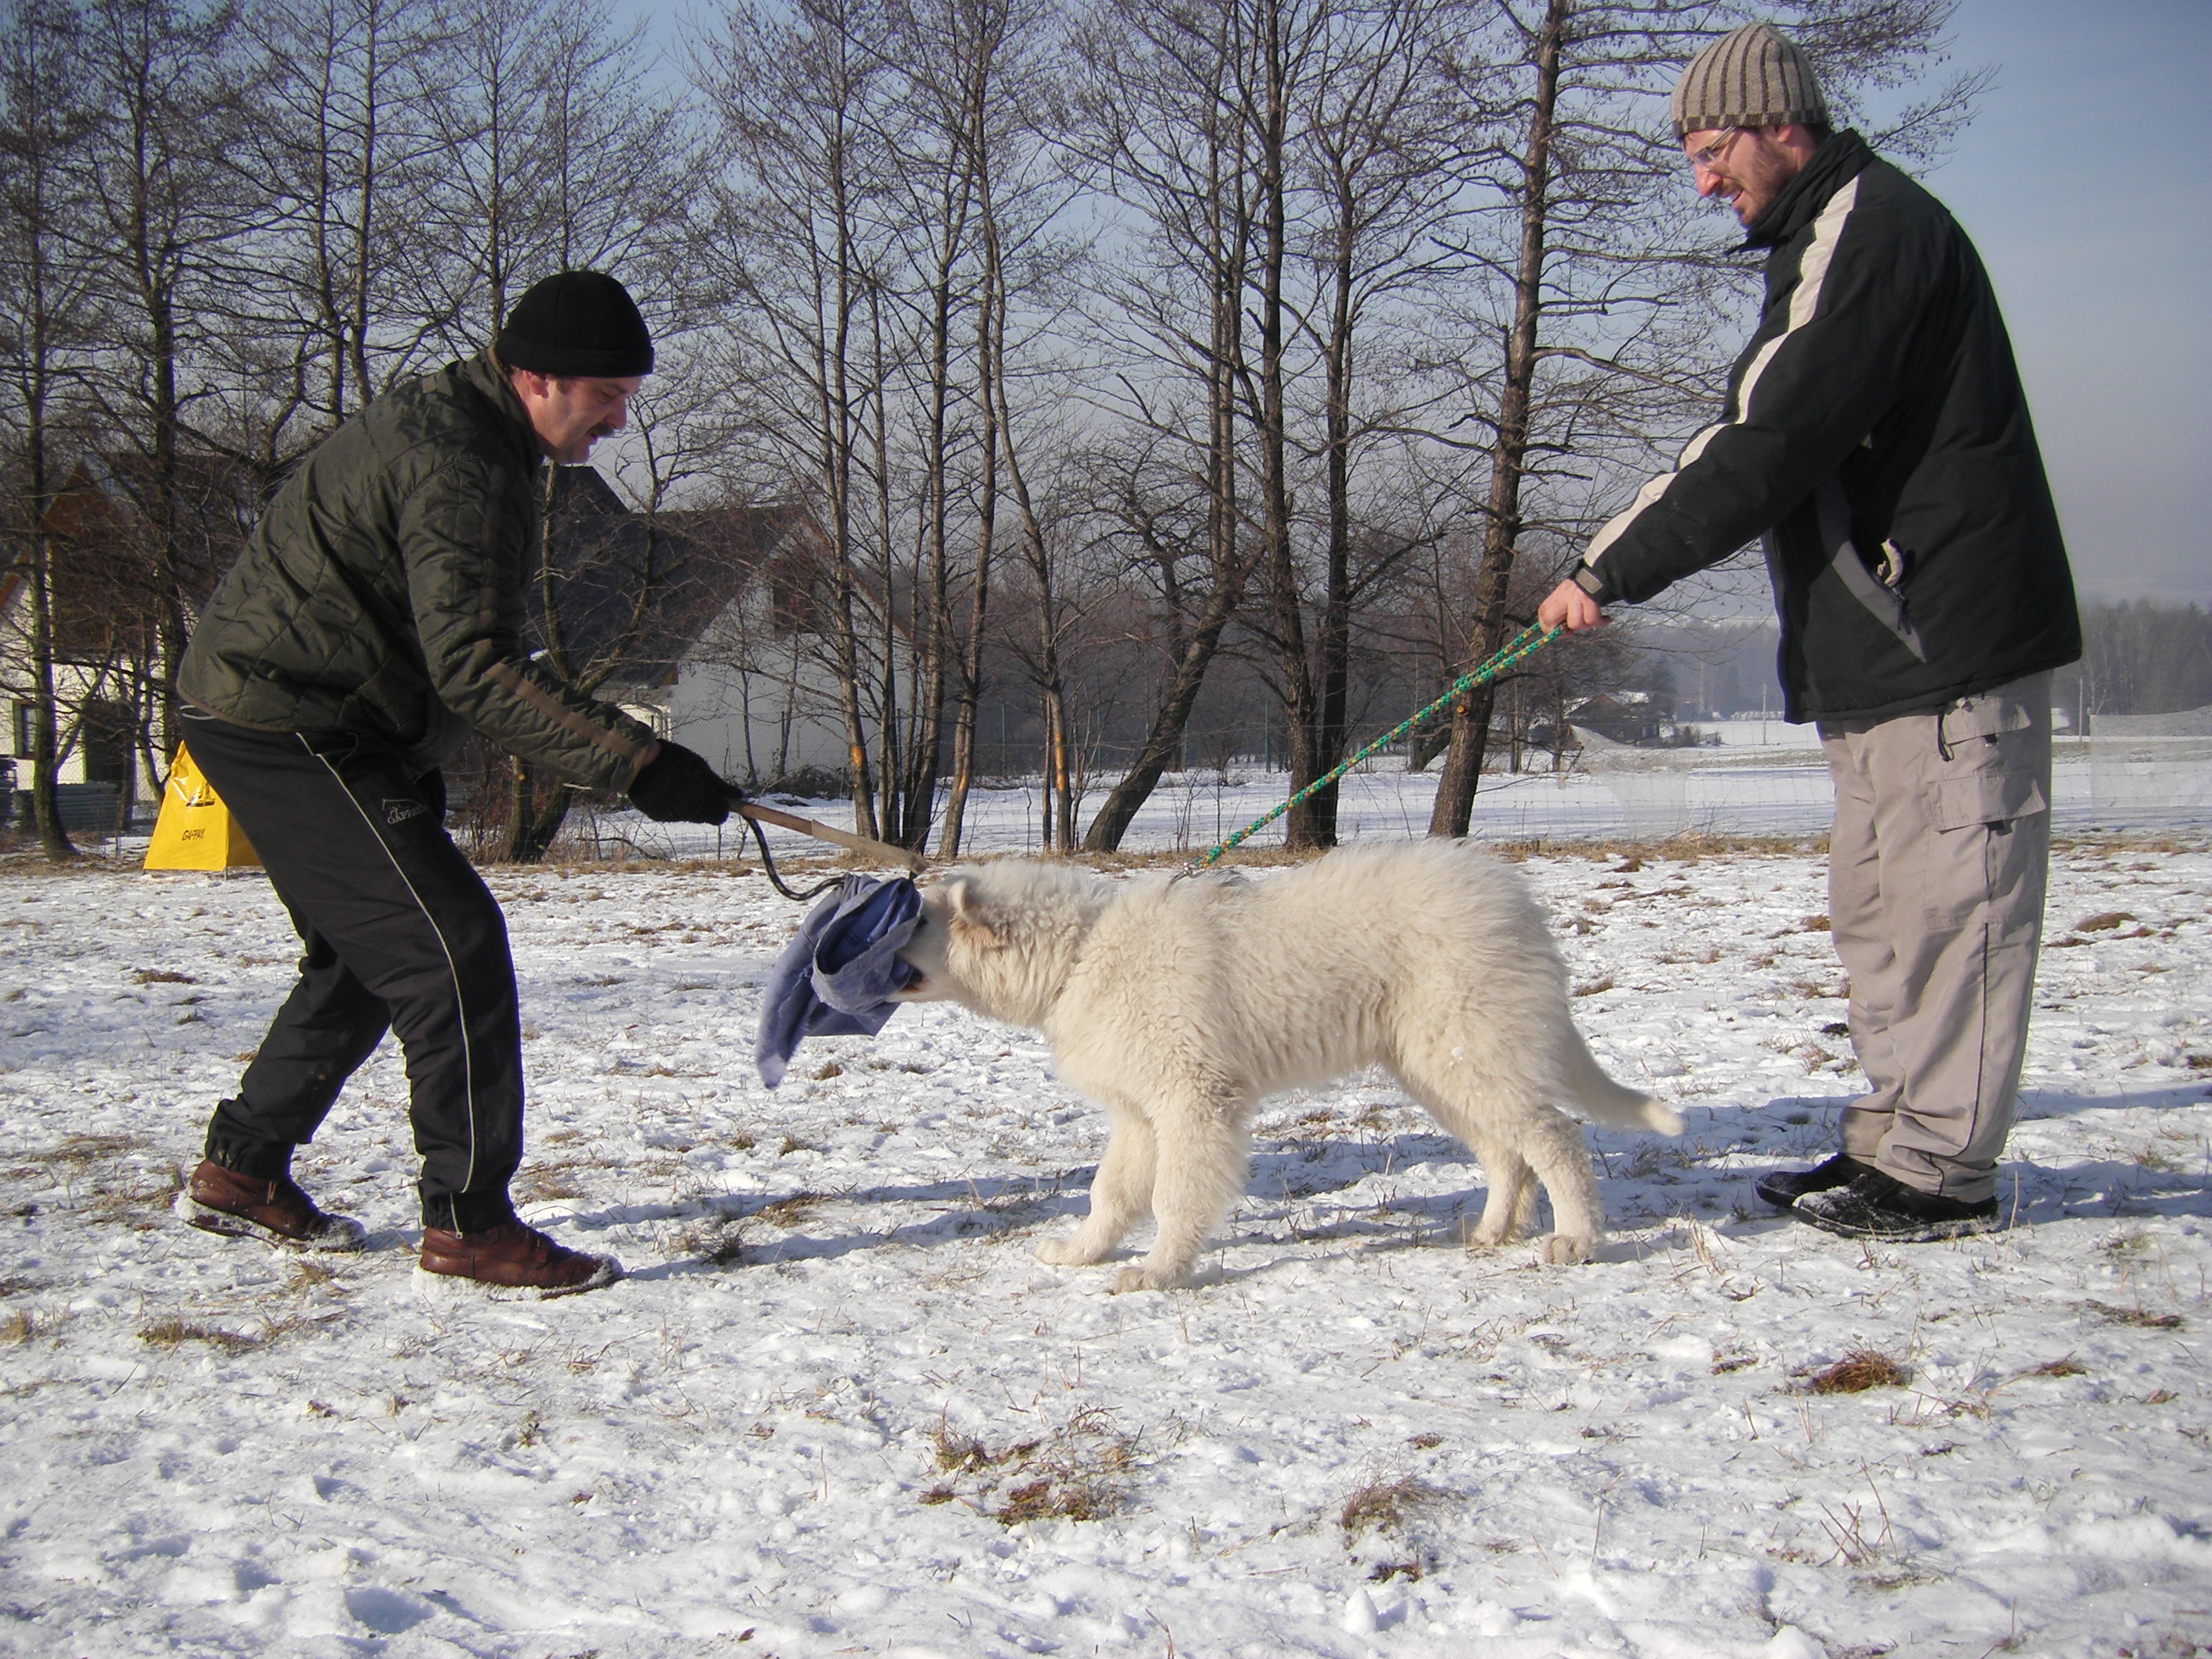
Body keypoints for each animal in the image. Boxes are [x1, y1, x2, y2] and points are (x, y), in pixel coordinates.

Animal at [894, 836, 1672, 1292]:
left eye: (919, 919)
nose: (881, 939)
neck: (1081, 954)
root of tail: (1516, 904)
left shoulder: (1193, 1102)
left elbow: (1175, 1197)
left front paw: (1159, 1273)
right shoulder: (1140, 1115)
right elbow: (1110, 1195)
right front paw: (1082, 1254)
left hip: (1471, 1051)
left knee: (1555, 1138)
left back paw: (1575, 1239)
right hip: (1441, 1067)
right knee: (1508, 1153)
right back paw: (1490, 1233)